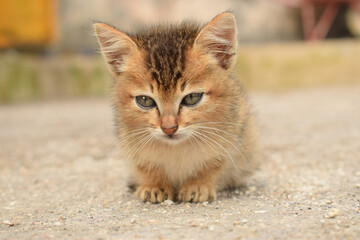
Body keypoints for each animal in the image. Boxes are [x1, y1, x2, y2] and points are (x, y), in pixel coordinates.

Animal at [94, 11, 258, 202]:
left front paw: (198, 184)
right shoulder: (130, 140)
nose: (169, 128)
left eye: (192, 98)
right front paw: (154, 184)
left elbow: (214, 164)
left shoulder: (235, 132)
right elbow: (145, 165)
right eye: (145, 101)